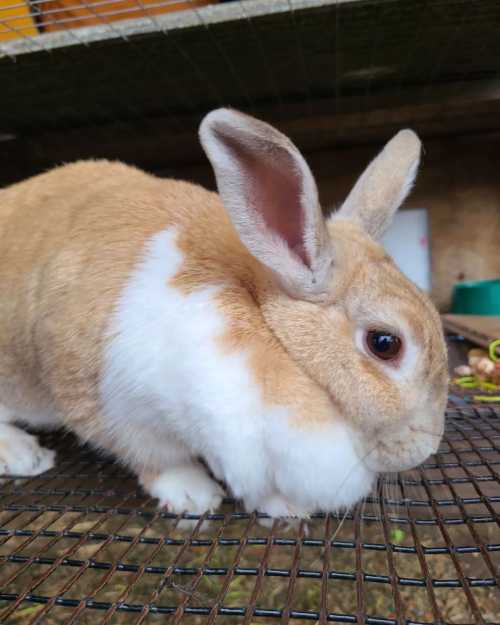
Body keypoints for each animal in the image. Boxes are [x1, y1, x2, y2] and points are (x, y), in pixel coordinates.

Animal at [0, 109, 450, 520]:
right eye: (385, 343)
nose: (426, 449)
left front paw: (286, 506)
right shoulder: (104, 399)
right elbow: (154, 457)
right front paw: (193, 495)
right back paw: (24, 456)